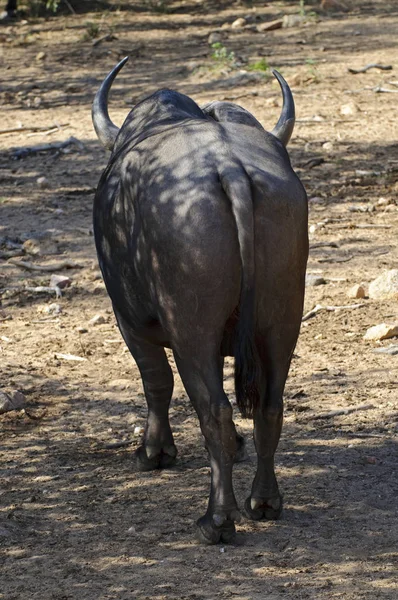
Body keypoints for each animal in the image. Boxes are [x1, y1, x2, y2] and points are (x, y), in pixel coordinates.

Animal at [92, 58, 308, 548]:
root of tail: (230, 169)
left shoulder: (127, 319)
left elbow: (155, 380)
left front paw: (154, 452)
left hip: (192, 329)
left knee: (212, 409)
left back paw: (216, 519)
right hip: (284, 319)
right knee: (270, 404)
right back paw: (264, 501)